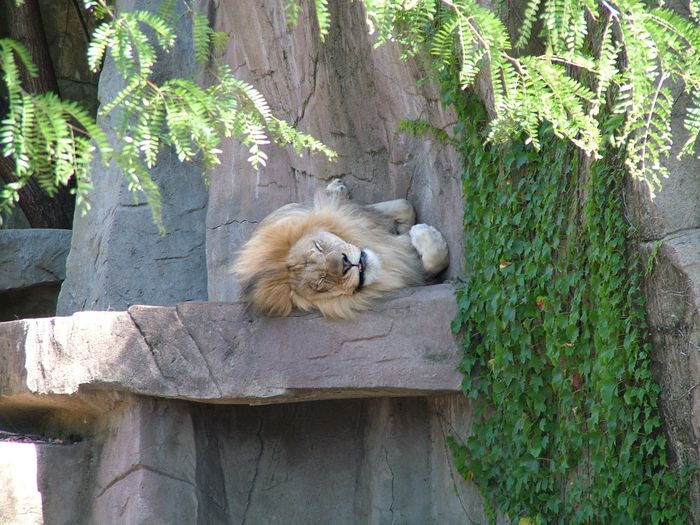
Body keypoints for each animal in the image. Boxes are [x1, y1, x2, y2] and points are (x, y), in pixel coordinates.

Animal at [232, 179, 449, 319]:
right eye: (321, 283)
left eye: (319, 246)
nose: (345, 263)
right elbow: (432, 261)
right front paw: (422, 233)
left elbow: (403, 206)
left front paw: (410, 231)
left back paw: (337, 188)